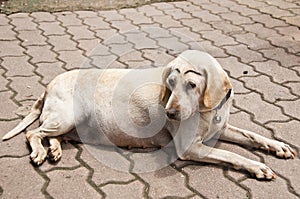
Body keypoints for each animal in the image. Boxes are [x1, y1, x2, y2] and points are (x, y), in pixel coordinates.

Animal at [1, 49, 296, 179]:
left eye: (191, 84)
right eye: (170, 83)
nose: (170, 113)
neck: (209, 111)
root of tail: (48, 85)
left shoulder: (220, 129)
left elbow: (253, 135)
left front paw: (278, 146)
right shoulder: (190, 148)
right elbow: (232, 154)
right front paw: (258, 166)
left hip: (65, 124)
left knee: (50, 135)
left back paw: (54, 150)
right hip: (65, 117)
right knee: (32, 132)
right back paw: (40, 152)